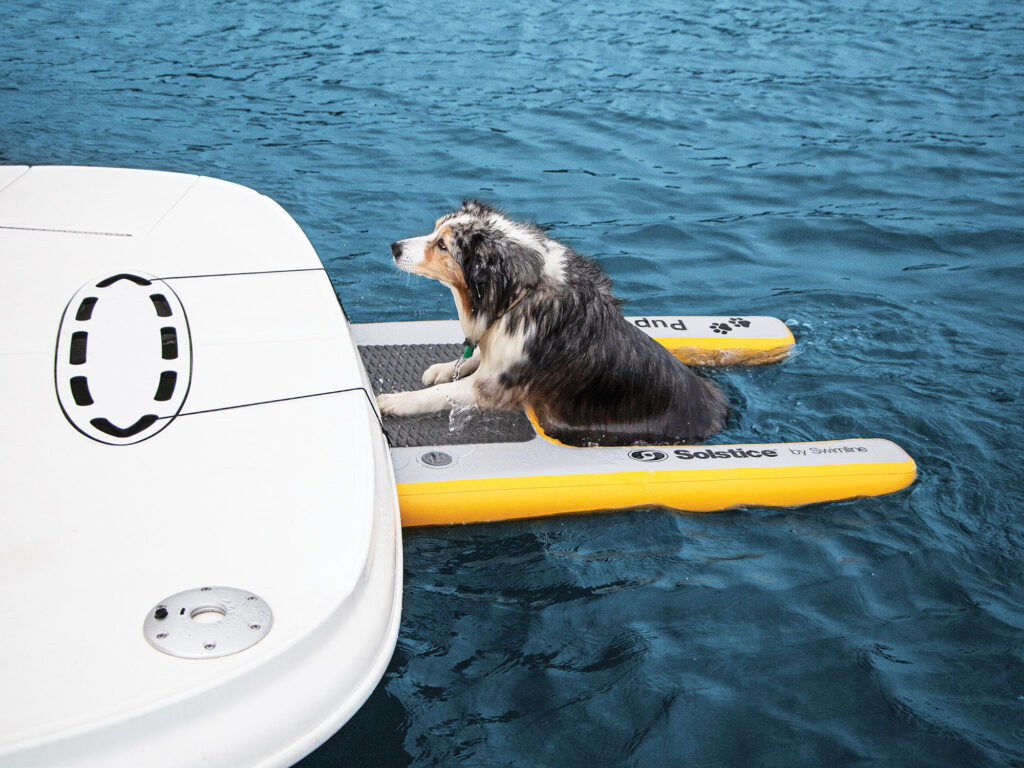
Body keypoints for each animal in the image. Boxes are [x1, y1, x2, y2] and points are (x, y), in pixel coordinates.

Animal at [378, 201, 729, 448]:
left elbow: (440, 393)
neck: (517, 293)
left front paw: (395, 401)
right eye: (434, 230)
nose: (394, 247)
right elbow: (471, 358)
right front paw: (443, 367)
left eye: (442, 245)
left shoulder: (493, 389)